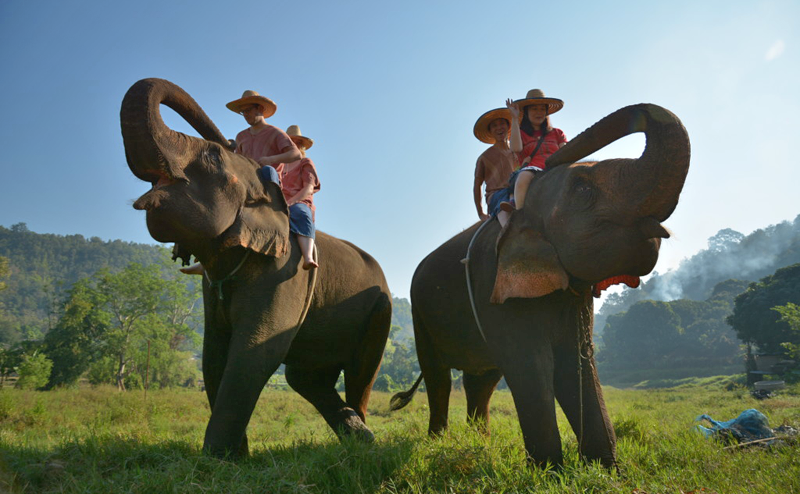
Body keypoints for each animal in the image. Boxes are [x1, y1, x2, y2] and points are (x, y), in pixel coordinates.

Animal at [120, 78, 392, 460]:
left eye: (212, 157)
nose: (229, 141)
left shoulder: (285, 271)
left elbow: (255, 350)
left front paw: (216, 459)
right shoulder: (213, 281)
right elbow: (214, 353)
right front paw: (235, 458)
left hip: (379, 312)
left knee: (360, 374)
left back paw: (364, 445)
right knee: (305, 377)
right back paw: (360, 438)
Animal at [390, 102, 692, 468]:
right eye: (583, 189)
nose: (548, 159)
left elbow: (577, 364)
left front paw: (605, 469)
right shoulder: (492, 282)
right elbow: (532, 366)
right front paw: (550, 471)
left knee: (481, 379)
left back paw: (480, 441)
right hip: (421, 315)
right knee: (438, 376)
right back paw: (439, 443)